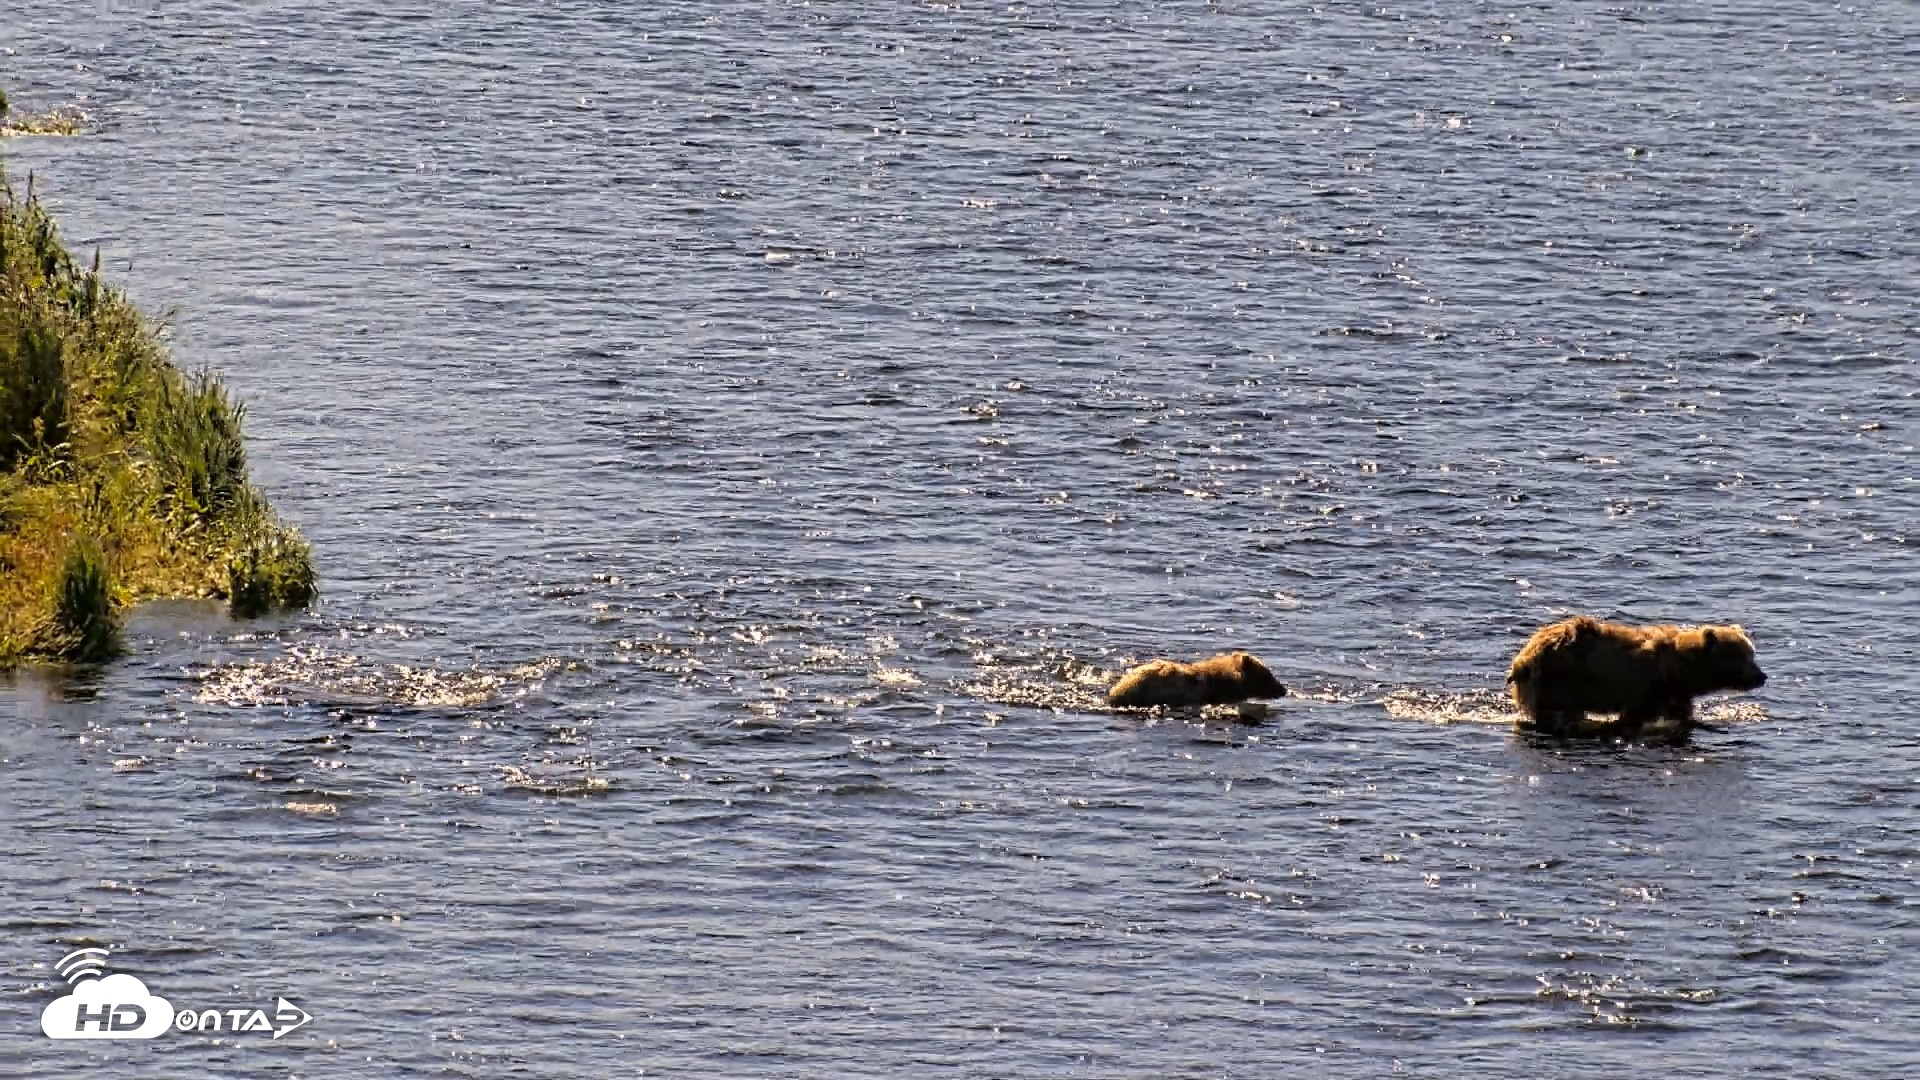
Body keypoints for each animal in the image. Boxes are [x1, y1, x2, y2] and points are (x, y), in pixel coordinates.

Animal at [1506, 616, 1766, 742]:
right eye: (1743, 658)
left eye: (1752, 654)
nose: (1761, 677)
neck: (1679, 671)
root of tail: (1523, 656)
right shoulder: (1644, 689)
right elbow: (1635, 717)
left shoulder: (1675, 694)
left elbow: (1682, 716)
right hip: (1560, 679)